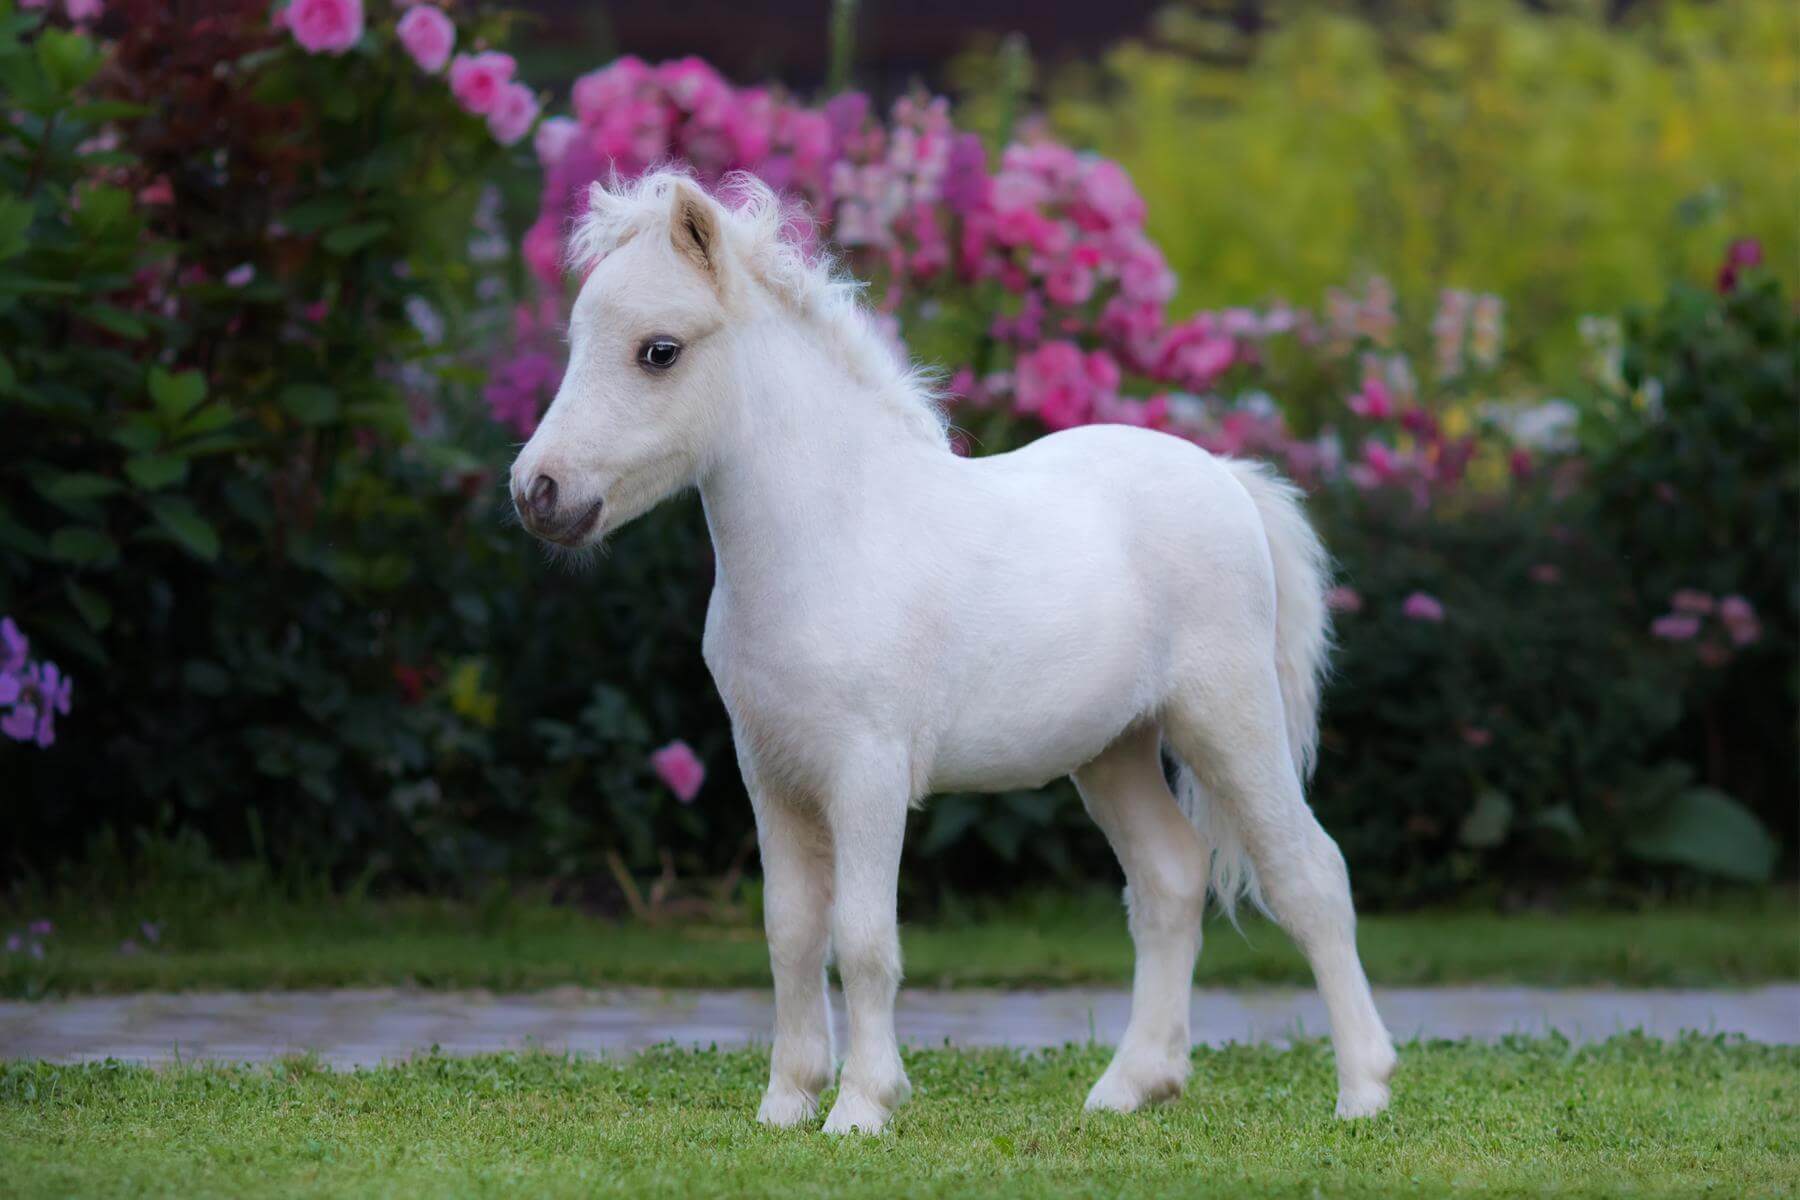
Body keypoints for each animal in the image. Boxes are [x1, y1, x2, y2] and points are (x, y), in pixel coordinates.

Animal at [509, 170, 1396, 1134]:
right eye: (576, 340)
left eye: (659, 351)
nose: (538, 493)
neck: (833, 542)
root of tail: (1227, 479)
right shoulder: (770, 774)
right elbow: (790, 932)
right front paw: (787, 1102)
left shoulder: (866, 775)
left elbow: (862, 938)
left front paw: (863, 1106)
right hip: (1114, 750)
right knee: (1169, 878)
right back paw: (1130, 1086)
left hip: (1228, 720)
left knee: (1310, 874)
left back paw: (1365, 1089)